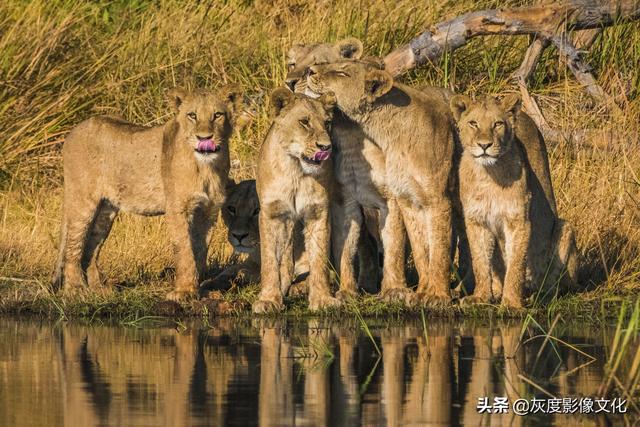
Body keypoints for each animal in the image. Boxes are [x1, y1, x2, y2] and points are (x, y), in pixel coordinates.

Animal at [52, 85, 241, 302]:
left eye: (217, 115)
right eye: (192, 115)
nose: (204, 138)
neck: (206, 167)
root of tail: (72, 132)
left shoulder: (209, 210)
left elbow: (201, 249)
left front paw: (200, 291)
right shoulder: (177, 208)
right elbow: (185, 249)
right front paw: (184, 291)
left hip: (106, 210)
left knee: (91, 247)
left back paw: (98, 289)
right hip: (82, 199)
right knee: (74, 244)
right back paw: (76, 289)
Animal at [254, 88, 344, 314]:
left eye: (327, 123)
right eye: (304, 122)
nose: (326, 147)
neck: (296, 170)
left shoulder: (319, 211)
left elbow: (319, 258)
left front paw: (322, 299)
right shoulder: (271, 213)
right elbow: (270, 259)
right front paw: (269, 299)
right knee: (286, 259)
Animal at [308, 59, 458, 308]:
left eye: (342, 72)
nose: (310, 70)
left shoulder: (433, 200)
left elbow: (432, 249)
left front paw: (433, 296)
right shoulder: (405, 198)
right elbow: (420, 250)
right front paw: (421, 293)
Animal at [450, 93, 580, 308]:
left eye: (497, 124)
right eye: (473, 123)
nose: (484, 145)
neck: (488, 174)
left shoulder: (518, 220)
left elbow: (516, 264)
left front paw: (511, 302)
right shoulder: (477, 221)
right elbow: (480, 262)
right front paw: (481, 297)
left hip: (565, 227)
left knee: (559, 284)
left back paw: (538, 295)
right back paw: (496, 291)